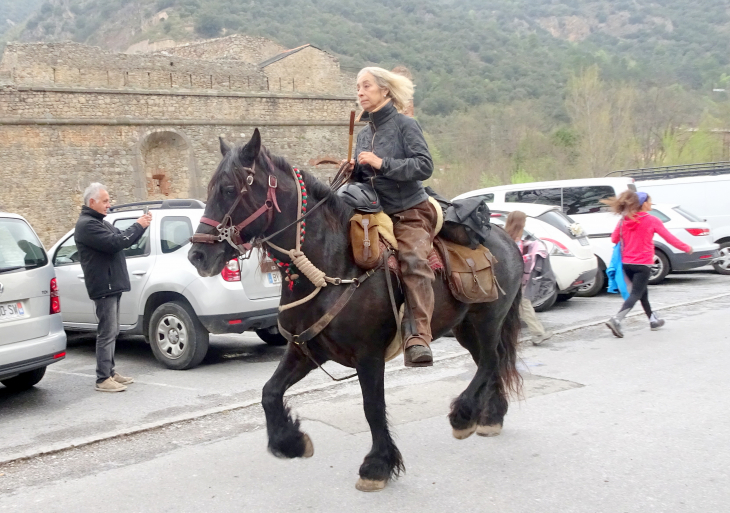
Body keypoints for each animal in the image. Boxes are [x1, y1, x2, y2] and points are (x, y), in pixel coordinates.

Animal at [188, 130, 524, 490]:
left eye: (229, 189)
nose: (197, 255)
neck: (333, 264)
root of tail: (507, 236)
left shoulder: (369, 355)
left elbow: (372, 407)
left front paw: (376, 466)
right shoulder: (306, 350)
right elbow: (269, 392)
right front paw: (291, 442)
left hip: (487, 321)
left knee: (489, 362)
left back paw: (463, 415)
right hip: (465, 328)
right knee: (491, 363)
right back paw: (490, 417)